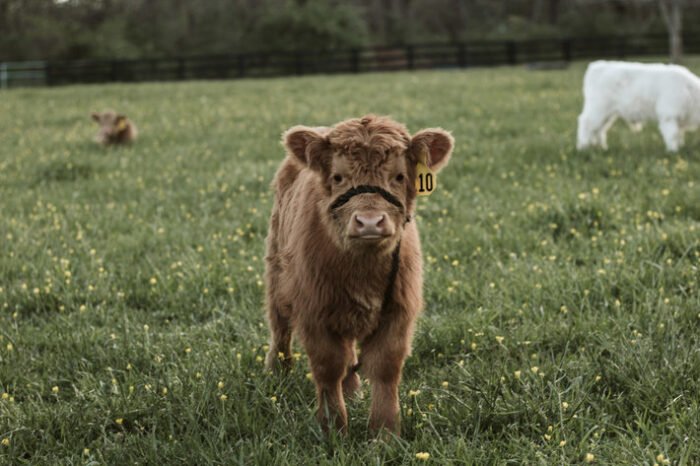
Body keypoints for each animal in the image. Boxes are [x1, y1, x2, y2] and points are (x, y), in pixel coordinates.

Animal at [264, 114, 454, 436]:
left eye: (399, 176)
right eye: (339, 177)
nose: (369, 222)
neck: (362, 270)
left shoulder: (398, 311)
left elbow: (385, 367)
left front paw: (385, 432)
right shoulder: (313, 311)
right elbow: (328, 366)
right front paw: (333, 428)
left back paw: (352, 392)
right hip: (277, 270)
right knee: (280, 328)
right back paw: (277, 376)